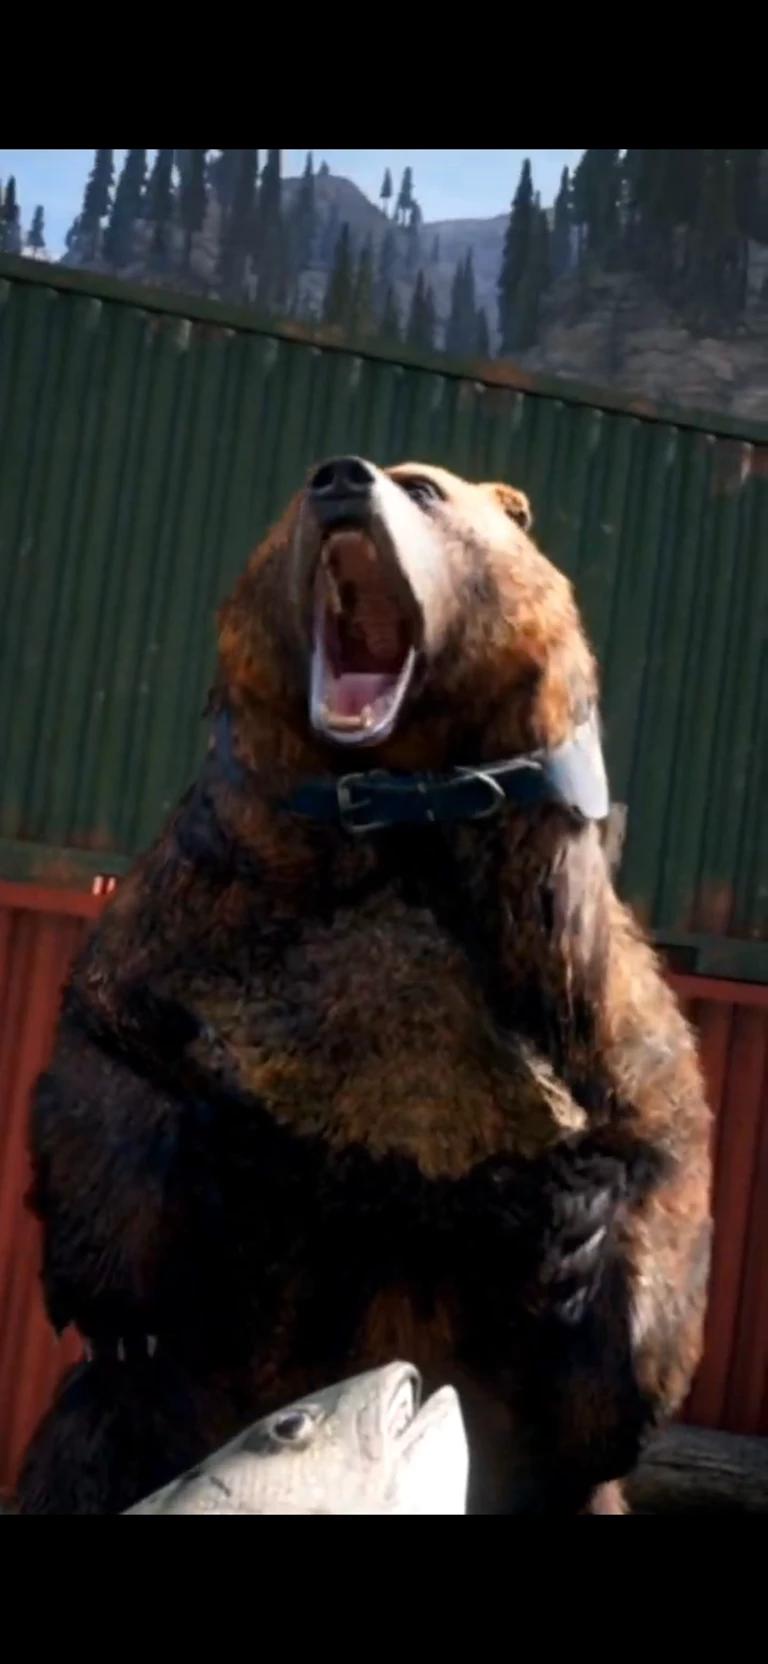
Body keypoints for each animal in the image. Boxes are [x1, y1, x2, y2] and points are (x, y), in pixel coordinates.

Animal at [16, 456, 712, 1515]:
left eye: (424, 487)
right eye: (303, 486)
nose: (343, 477)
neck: (394, 810)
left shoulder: (583, 987)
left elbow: (663, 1157)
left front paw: (577, 1229)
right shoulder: (193, 920)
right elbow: (109, 1058)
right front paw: (130, 1309)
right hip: (124, 1430)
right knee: (80, 1451)